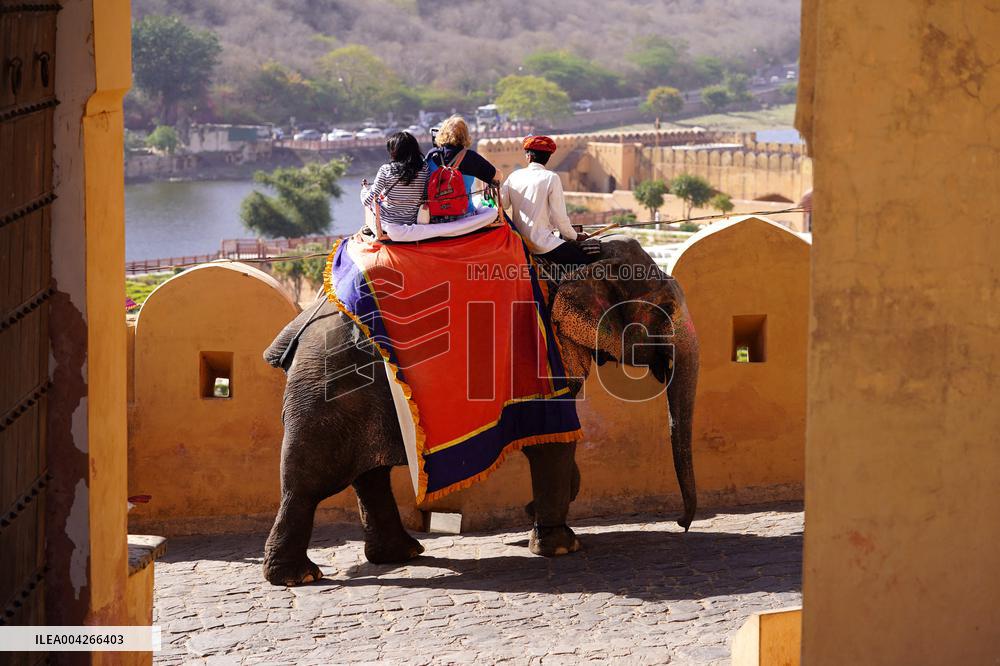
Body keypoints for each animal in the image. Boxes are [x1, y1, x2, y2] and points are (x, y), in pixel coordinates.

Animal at [261, 236, 699, 586]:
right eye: (664, 307)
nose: (682, 524)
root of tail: (296, 335)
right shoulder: (545, 356)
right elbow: (555, 439)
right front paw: (561, 546)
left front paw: (534, 518)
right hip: (328, 387)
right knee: (309, 482)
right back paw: (298, 577)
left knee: (369, 475)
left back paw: (401, 554)